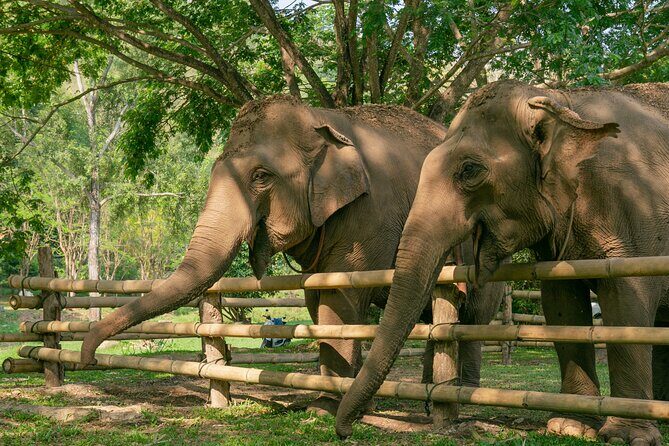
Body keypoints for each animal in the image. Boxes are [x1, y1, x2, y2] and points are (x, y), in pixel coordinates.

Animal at [79, 95, 505, 414]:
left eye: (261, 177)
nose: (88, 360)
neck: (322, 119)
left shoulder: (372, 214)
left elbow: (339, 299)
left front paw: (326, 409)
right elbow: (316, 298)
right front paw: (341, 403)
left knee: (473, 314)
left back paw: (462, 396)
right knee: (434, 314)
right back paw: (430, 395)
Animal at [335, 80, 669, 444]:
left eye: (470, 170)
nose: (346, 430)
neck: (563, 102)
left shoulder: (634, 210)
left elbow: (628, 301)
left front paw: (625, 436)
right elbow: (562, 304)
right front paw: (570, 426)